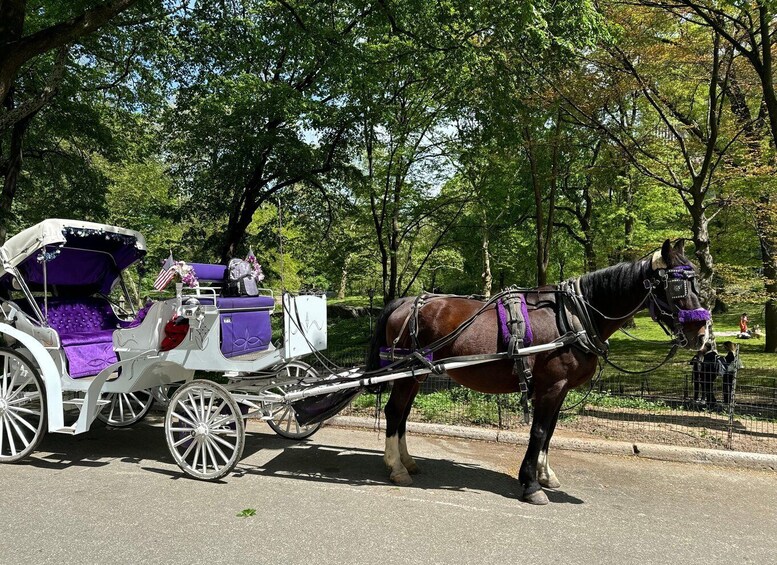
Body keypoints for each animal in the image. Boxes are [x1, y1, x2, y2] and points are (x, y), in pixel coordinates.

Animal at [366, 240, 712, 504]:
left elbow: (551, 431)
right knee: (394, 411)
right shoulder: (551, 386)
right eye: (677, 285)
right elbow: (540, 431)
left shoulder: (560, 389)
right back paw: (397, 467)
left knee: (402, 414)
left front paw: (544, 475)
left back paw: (407, 461)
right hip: (406, 373)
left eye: (697, 281)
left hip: (416, 374)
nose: (702, 334)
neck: (573, 316)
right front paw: (531, 485)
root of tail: (406, 301)